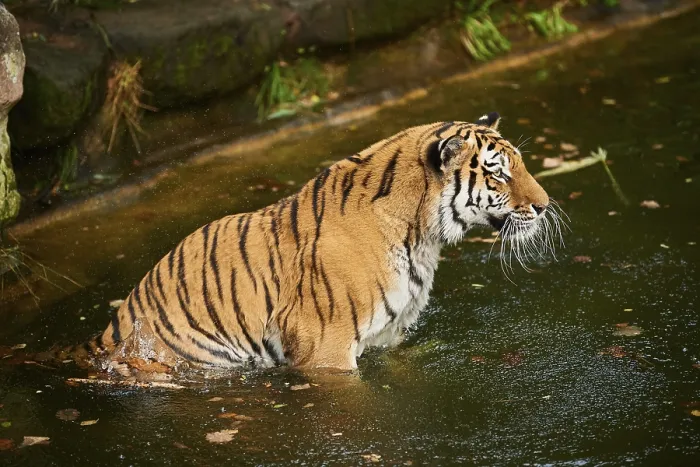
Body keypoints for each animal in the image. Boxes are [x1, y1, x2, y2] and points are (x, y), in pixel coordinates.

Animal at [64, 112, 562, 372]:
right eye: (499, 173)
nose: (544, 206)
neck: (421, 234)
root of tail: (108, 333)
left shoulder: (388, 335)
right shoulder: (326, 347)